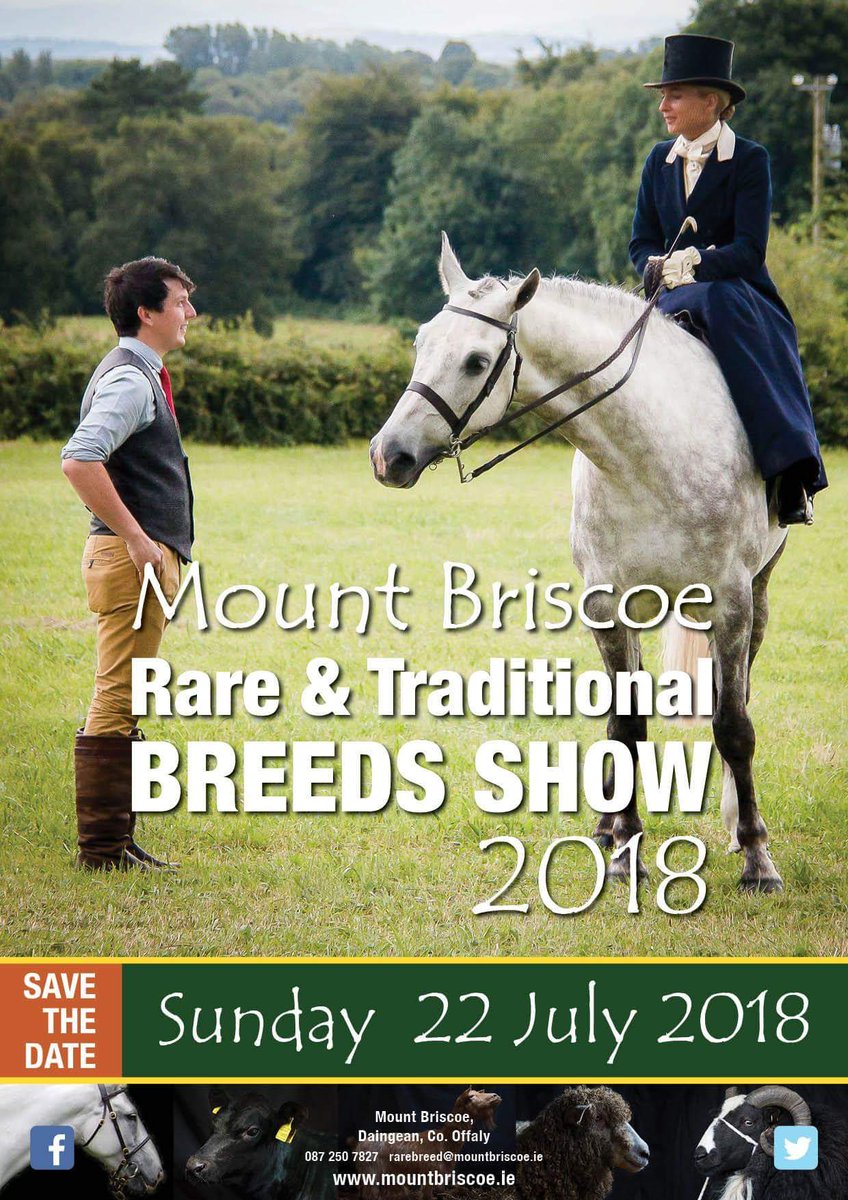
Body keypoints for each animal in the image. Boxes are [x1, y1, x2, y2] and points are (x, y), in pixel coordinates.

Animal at [370, 234, 789, 893]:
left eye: (475, 361)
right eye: (420, 344)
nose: (389, 456)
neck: (648, 452)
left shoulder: (732, 600)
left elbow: (733, 726)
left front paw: (755, 856)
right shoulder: (608, 605)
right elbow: (625, 727)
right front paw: (624, 849)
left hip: (759, 594)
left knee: (737, 698)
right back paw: (607, 825)